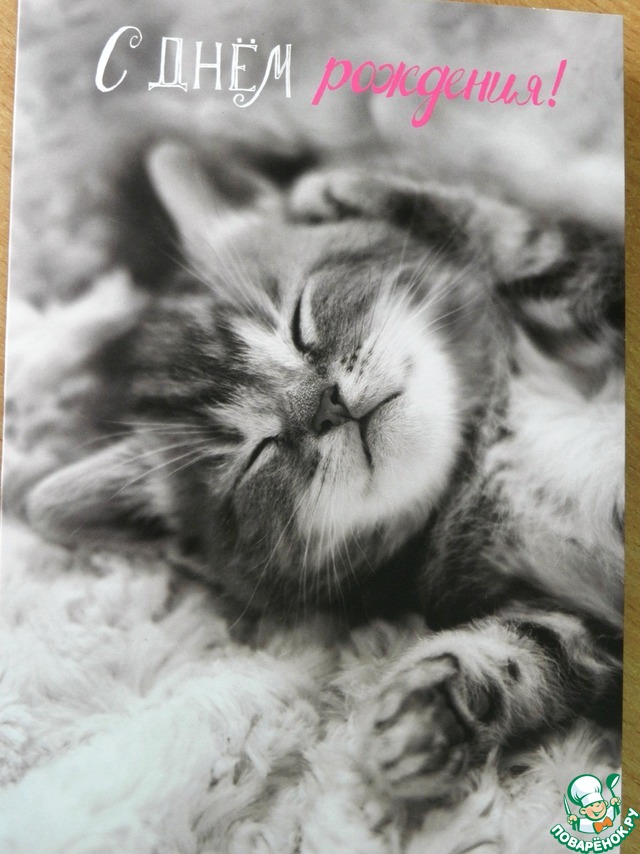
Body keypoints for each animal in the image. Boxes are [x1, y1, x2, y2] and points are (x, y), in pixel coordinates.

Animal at [25, 142, 624, 805]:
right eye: (257, 453)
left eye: (297, 320)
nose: (325, 405)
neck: (494, 440)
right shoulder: (586, 624)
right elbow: (535, 651)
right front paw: (436, 706)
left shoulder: (606, 287)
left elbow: (545, 243)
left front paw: (348, 188)